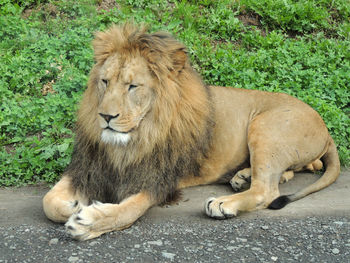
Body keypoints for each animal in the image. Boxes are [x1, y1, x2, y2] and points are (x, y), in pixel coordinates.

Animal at [41, 24, 340, 241]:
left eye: (132, 86)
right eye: (104, 81)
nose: (105, 117)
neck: (133, 140)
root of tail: (325, 127)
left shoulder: (157, 181)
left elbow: (128, 210)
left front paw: (89, 221)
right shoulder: (88, 168)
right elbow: (48, 202)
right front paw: (74, 205)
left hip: (265, 127)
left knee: (266, 190)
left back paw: (224, 203)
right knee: (299, 169)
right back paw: (243, 177)